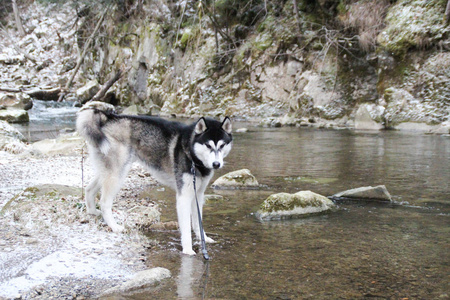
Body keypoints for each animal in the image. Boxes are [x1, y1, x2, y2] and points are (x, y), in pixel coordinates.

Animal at [76, 102, 232, 254]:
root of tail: (108, 118)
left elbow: (197, 222)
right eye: (208, 145)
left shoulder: (198, 194)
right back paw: (114, 226)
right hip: (117, 175)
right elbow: (187, 228)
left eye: (222, 145)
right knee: (104, 202)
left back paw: (92, 211)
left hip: (107, 172)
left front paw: (204, 239)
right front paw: (188, 250)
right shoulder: (184, 196)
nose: (216, 164)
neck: (191, 153)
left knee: (89, 189)